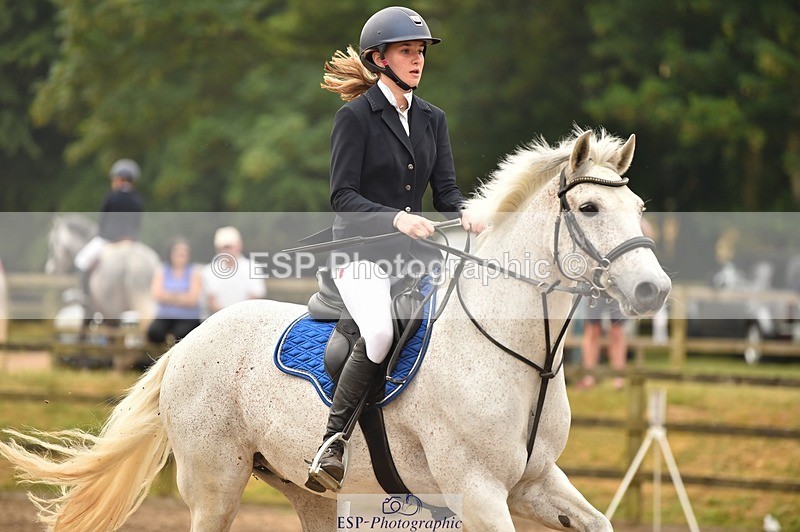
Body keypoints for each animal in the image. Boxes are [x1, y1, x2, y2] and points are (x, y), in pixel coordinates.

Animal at [0, 129, 671, 531]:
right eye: (588, 208)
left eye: (639, 209)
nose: (653, 291)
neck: (518, 355)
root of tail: (193, 339)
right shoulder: (478, 488)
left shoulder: (533, 482)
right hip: (216, 482)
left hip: (303, 486)